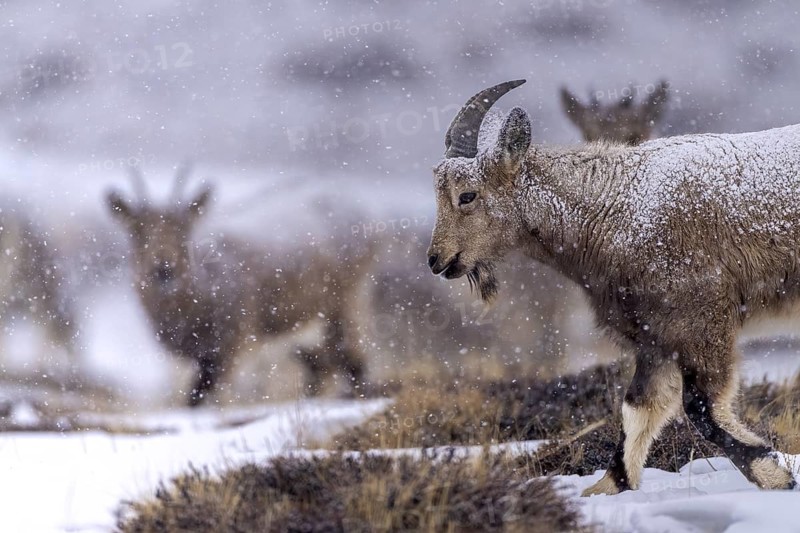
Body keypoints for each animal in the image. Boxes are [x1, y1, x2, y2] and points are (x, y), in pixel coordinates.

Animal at [107, 166, 371, 406]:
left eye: (183, 229)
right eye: (137, 230)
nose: (163, 269)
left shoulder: (232, 346)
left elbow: (216, 399)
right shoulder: (201, 360)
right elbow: (193, 400)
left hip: (346, 304)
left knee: (355, 363)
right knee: (322, 368)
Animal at [427, 80, 798, 495]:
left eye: (468, 195)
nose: (437, 259)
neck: (616, 205)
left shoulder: (699, 316)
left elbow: (701, 408)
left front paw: (775, 473)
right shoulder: (656, 336)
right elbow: (639, 405)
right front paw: (607, 486)